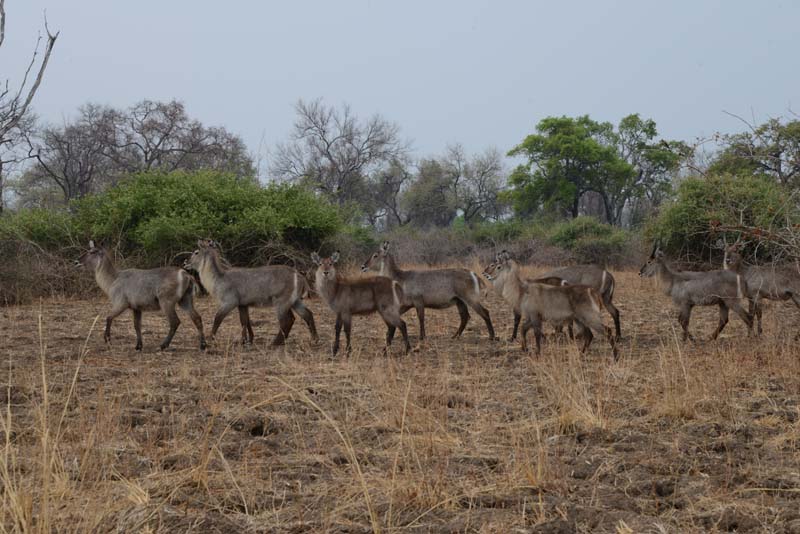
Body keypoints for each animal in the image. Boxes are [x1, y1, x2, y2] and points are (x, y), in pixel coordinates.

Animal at [76, 240, 205, 352]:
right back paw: (203, 345)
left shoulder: (120, 303)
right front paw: (138, 346)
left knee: (175, 322)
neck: (113, 279)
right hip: (185, 300)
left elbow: (108, 317)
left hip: (166, 302)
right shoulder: (137, 308)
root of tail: (186, 275)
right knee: (197, 318)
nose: (76, 262)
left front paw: (107, 339)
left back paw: (163, 345)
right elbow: (137, 325)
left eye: (92, 252)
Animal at [183, 242, 318, 348]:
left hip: (281, 302)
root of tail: (300, 276)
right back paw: (314, 339)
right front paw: (247, 340)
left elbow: (217, 319)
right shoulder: (243, 304)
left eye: (196, 252)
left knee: (288, 320)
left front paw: (211, 339)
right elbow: (245, 321)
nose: (185, 263)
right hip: (295, 301)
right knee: (308, 315)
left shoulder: (229, 302)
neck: (219, 278)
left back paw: (274, 343)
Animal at [360, 244, 494, 344]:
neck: (400, 279)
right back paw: (454, 336)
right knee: (465, 317)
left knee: (485, 312)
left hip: (470, 298)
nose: (362, 266)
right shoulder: (407, 305)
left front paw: (422, 337)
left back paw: (492, 336)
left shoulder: (418, 301)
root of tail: (473, 273)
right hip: (459, 301)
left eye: (375, 255)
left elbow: (421, 318)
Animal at [482, 254, 620, 360]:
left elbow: (536, 334)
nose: (485, 275)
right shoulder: (531, 317)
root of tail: (592, 291)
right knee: (589, 335)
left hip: (590, 317)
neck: (522, 291)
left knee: (607, 331)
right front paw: (524, 348)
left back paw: (616, 356)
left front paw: (537, 353)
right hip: (580, 319)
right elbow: (523, 329)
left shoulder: (535, 316)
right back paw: (581, 354)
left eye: (497, 266)